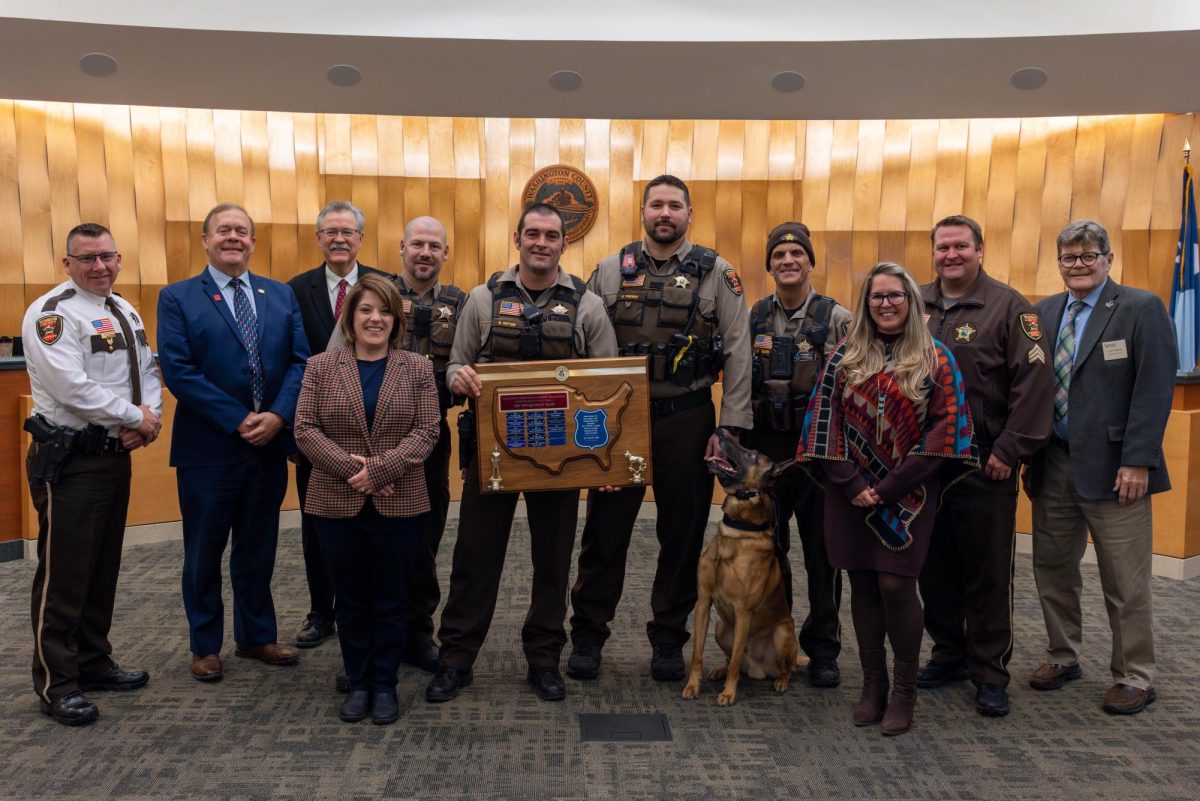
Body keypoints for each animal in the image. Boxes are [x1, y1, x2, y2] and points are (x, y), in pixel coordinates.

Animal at [681, 429, 801, 705]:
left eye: (753, 454)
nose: (720, 431)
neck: (737, 531)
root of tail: (759, 669)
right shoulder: (704, 602)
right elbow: (697, 654)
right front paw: (692, 686)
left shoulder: (743, 612)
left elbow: (736, 660)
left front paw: (728, 693)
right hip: (721, 627)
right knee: (732, 659)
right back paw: (719, 671)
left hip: (782, 633)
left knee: (784, 667)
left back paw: (781, 681)